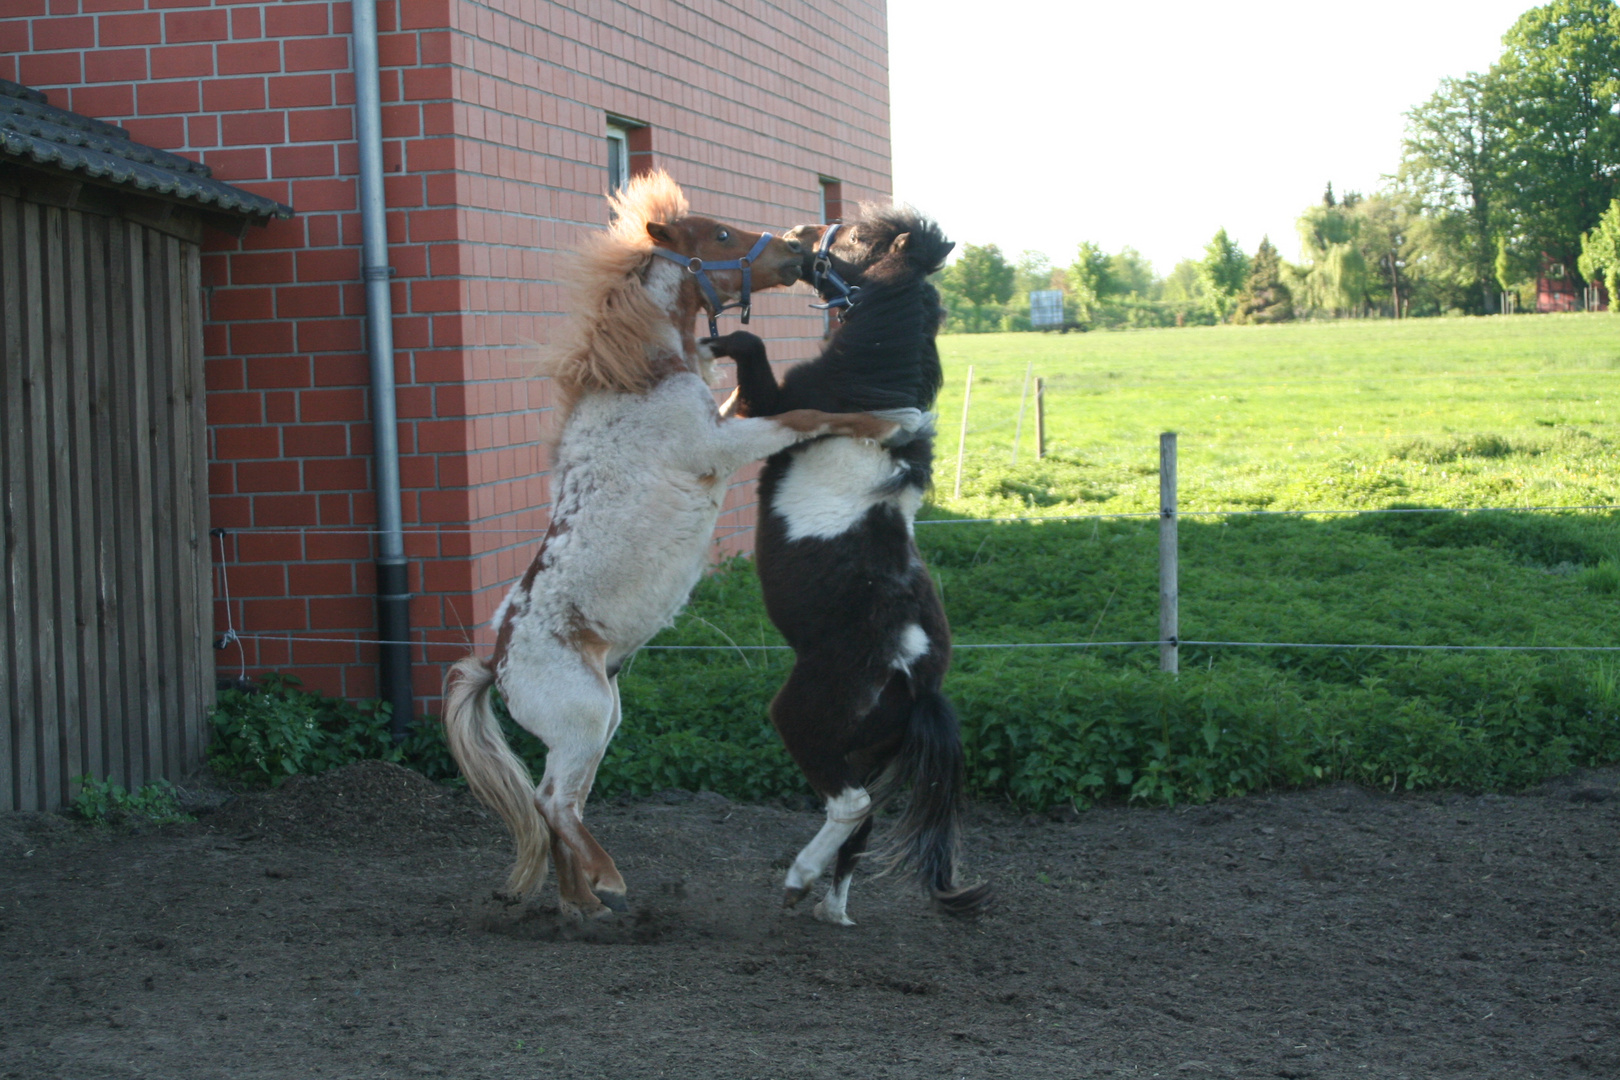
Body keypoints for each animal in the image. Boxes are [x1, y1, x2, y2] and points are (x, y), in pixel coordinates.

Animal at [440, 173, 926, 919]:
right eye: (721, 235)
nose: (796, 246)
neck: (643, 377)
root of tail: (496, 665)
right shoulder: (721, 448)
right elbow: (806, 415)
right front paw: (897, 417)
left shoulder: (725, 423)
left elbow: (774, 405)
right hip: (585, 722)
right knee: (553, 804)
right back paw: (607, 881)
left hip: (599, 724)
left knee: (560, 806)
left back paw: (584, 906)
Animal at [706, 207, 991, 926]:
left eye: (859, 240)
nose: (798, 236)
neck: (869, 386)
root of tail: (917, 679)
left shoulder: (775, 408)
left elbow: (749, 348)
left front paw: (709, 341)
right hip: (862, 746)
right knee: (859, 826)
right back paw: (828, 909)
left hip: (803, 719)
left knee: (851, 806)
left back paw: (799, 880)